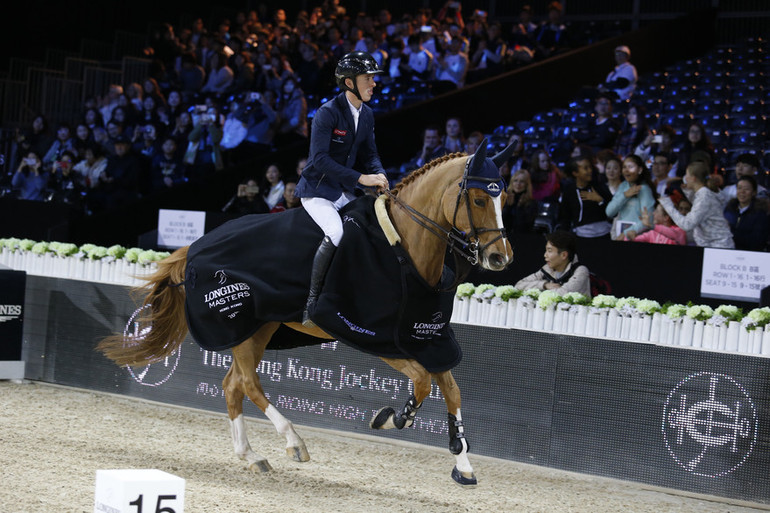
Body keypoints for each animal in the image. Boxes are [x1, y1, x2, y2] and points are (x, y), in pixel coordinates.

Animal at [99, 140, 512, 484]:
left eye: (503, 198)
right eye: (478, 200)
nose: (500, 258)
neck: (403, 247)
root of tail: (195, 246)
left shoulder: (425, 337)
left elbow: (452, 391)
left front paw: (463, 466)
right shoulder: (375, 336)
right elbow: (423, 382)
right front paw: (392, 418)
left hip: (259, 328)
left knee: (233, 385)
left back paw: (252, 455)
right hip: (241, 326)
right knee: (248, 382)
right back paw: (293, 442)